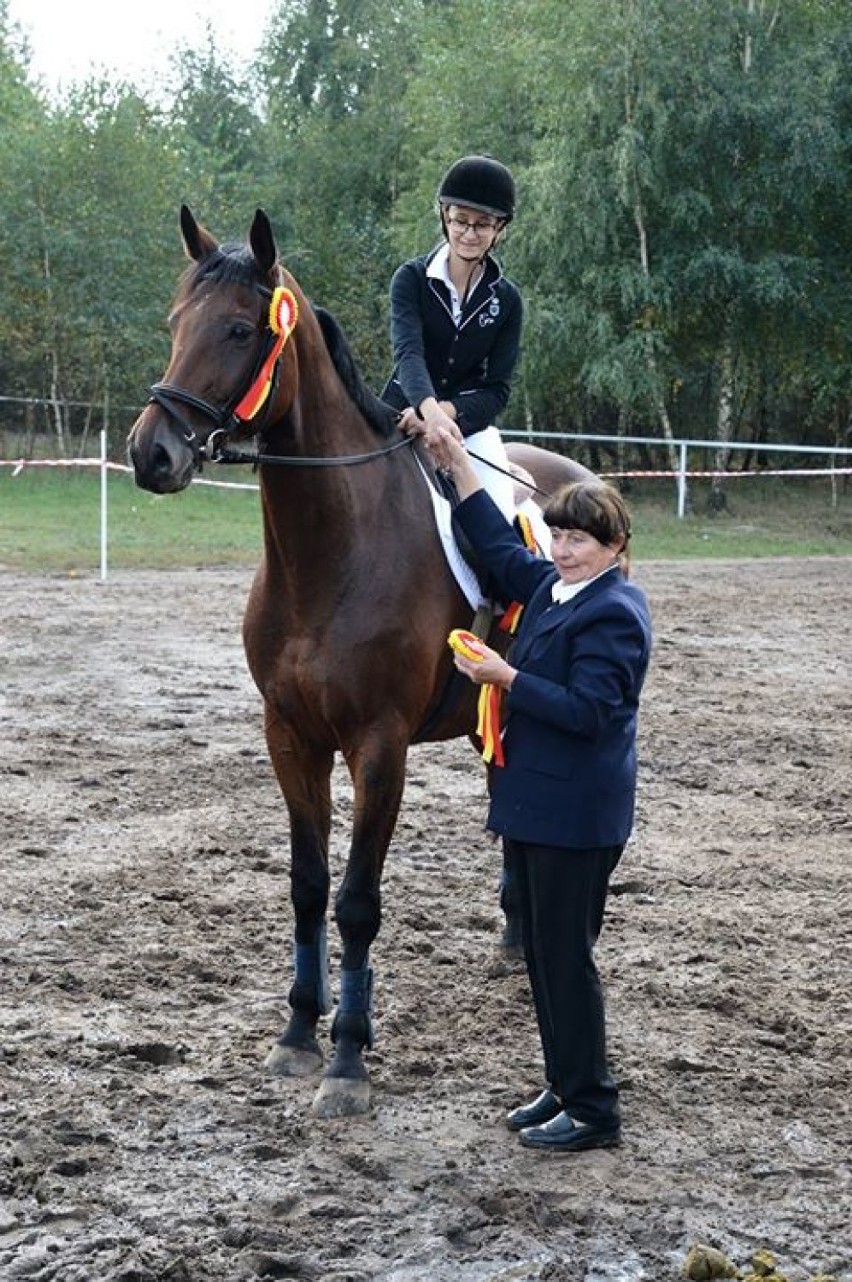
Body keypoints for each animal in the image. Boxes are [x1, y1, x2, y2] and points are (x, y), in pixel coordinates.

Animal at [128, 207, 591, 1112]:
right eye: (174, 324)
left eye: (240, 330)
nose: (150, 454)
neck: (332, 553)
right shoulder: (290, 736)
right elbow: (308, 887)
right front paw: (296, 1035)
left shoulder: (379, 748)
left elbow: (356, 902)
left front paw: (346, 1057)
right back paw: (514, 938)